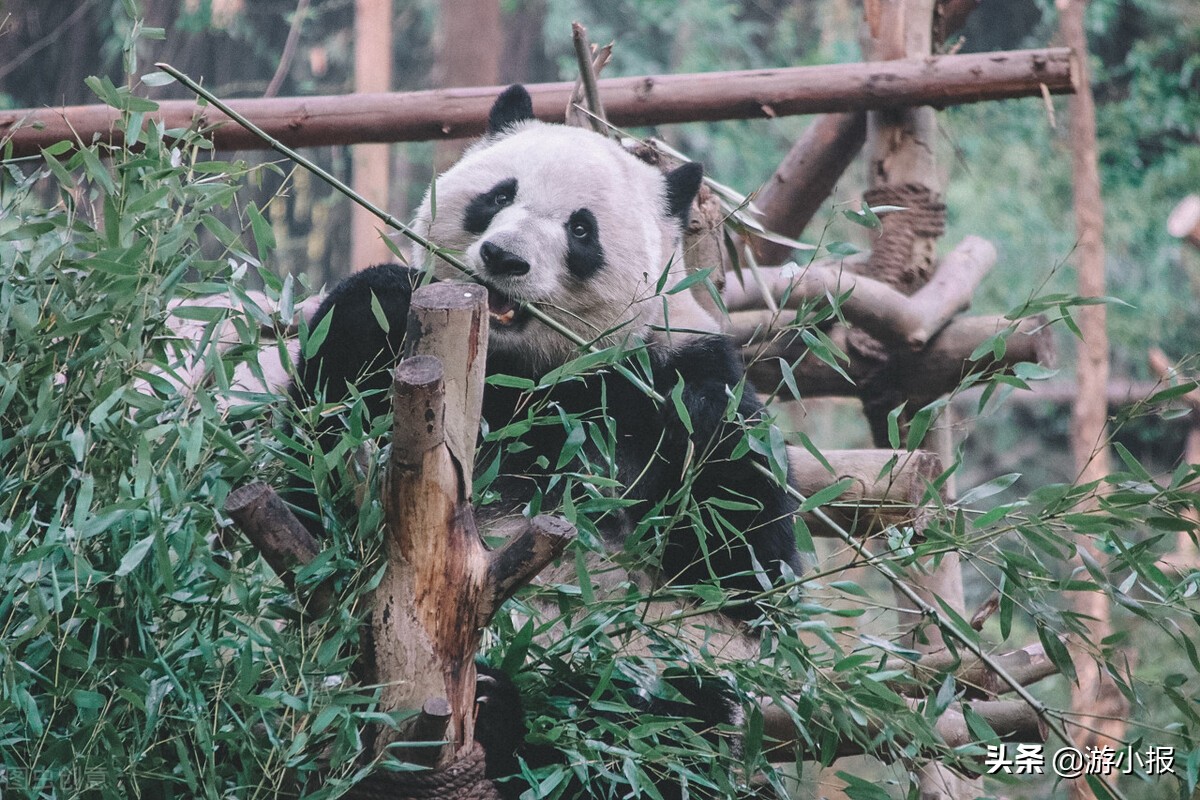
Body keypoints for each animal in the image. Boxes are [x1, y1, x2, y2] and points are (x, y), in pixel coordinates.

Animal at [285, 84, 801, 796]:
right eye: (499, 195)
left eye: (581, 230)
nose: (504, 258)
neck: (530, 371)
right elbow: (314, 471)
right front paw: (384, 293)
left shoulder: (672, 372)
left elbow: (746, 564)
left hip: (646, 677)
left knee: (653, 722)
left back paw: (512, 717)